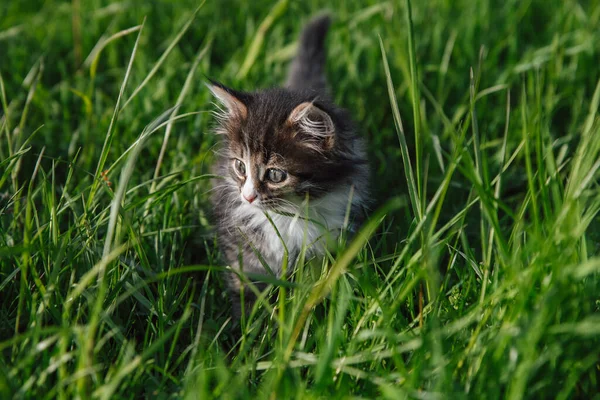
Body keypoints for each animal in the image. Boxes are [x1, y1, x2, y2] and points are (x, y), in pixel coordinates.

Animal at [209, 14, 368, 318]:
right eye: (240, 167)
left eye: (275, 174)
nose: (248, 196)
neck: (287, 216)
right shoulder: (241, 243)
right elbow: (245, 285)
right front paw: (247, 324)